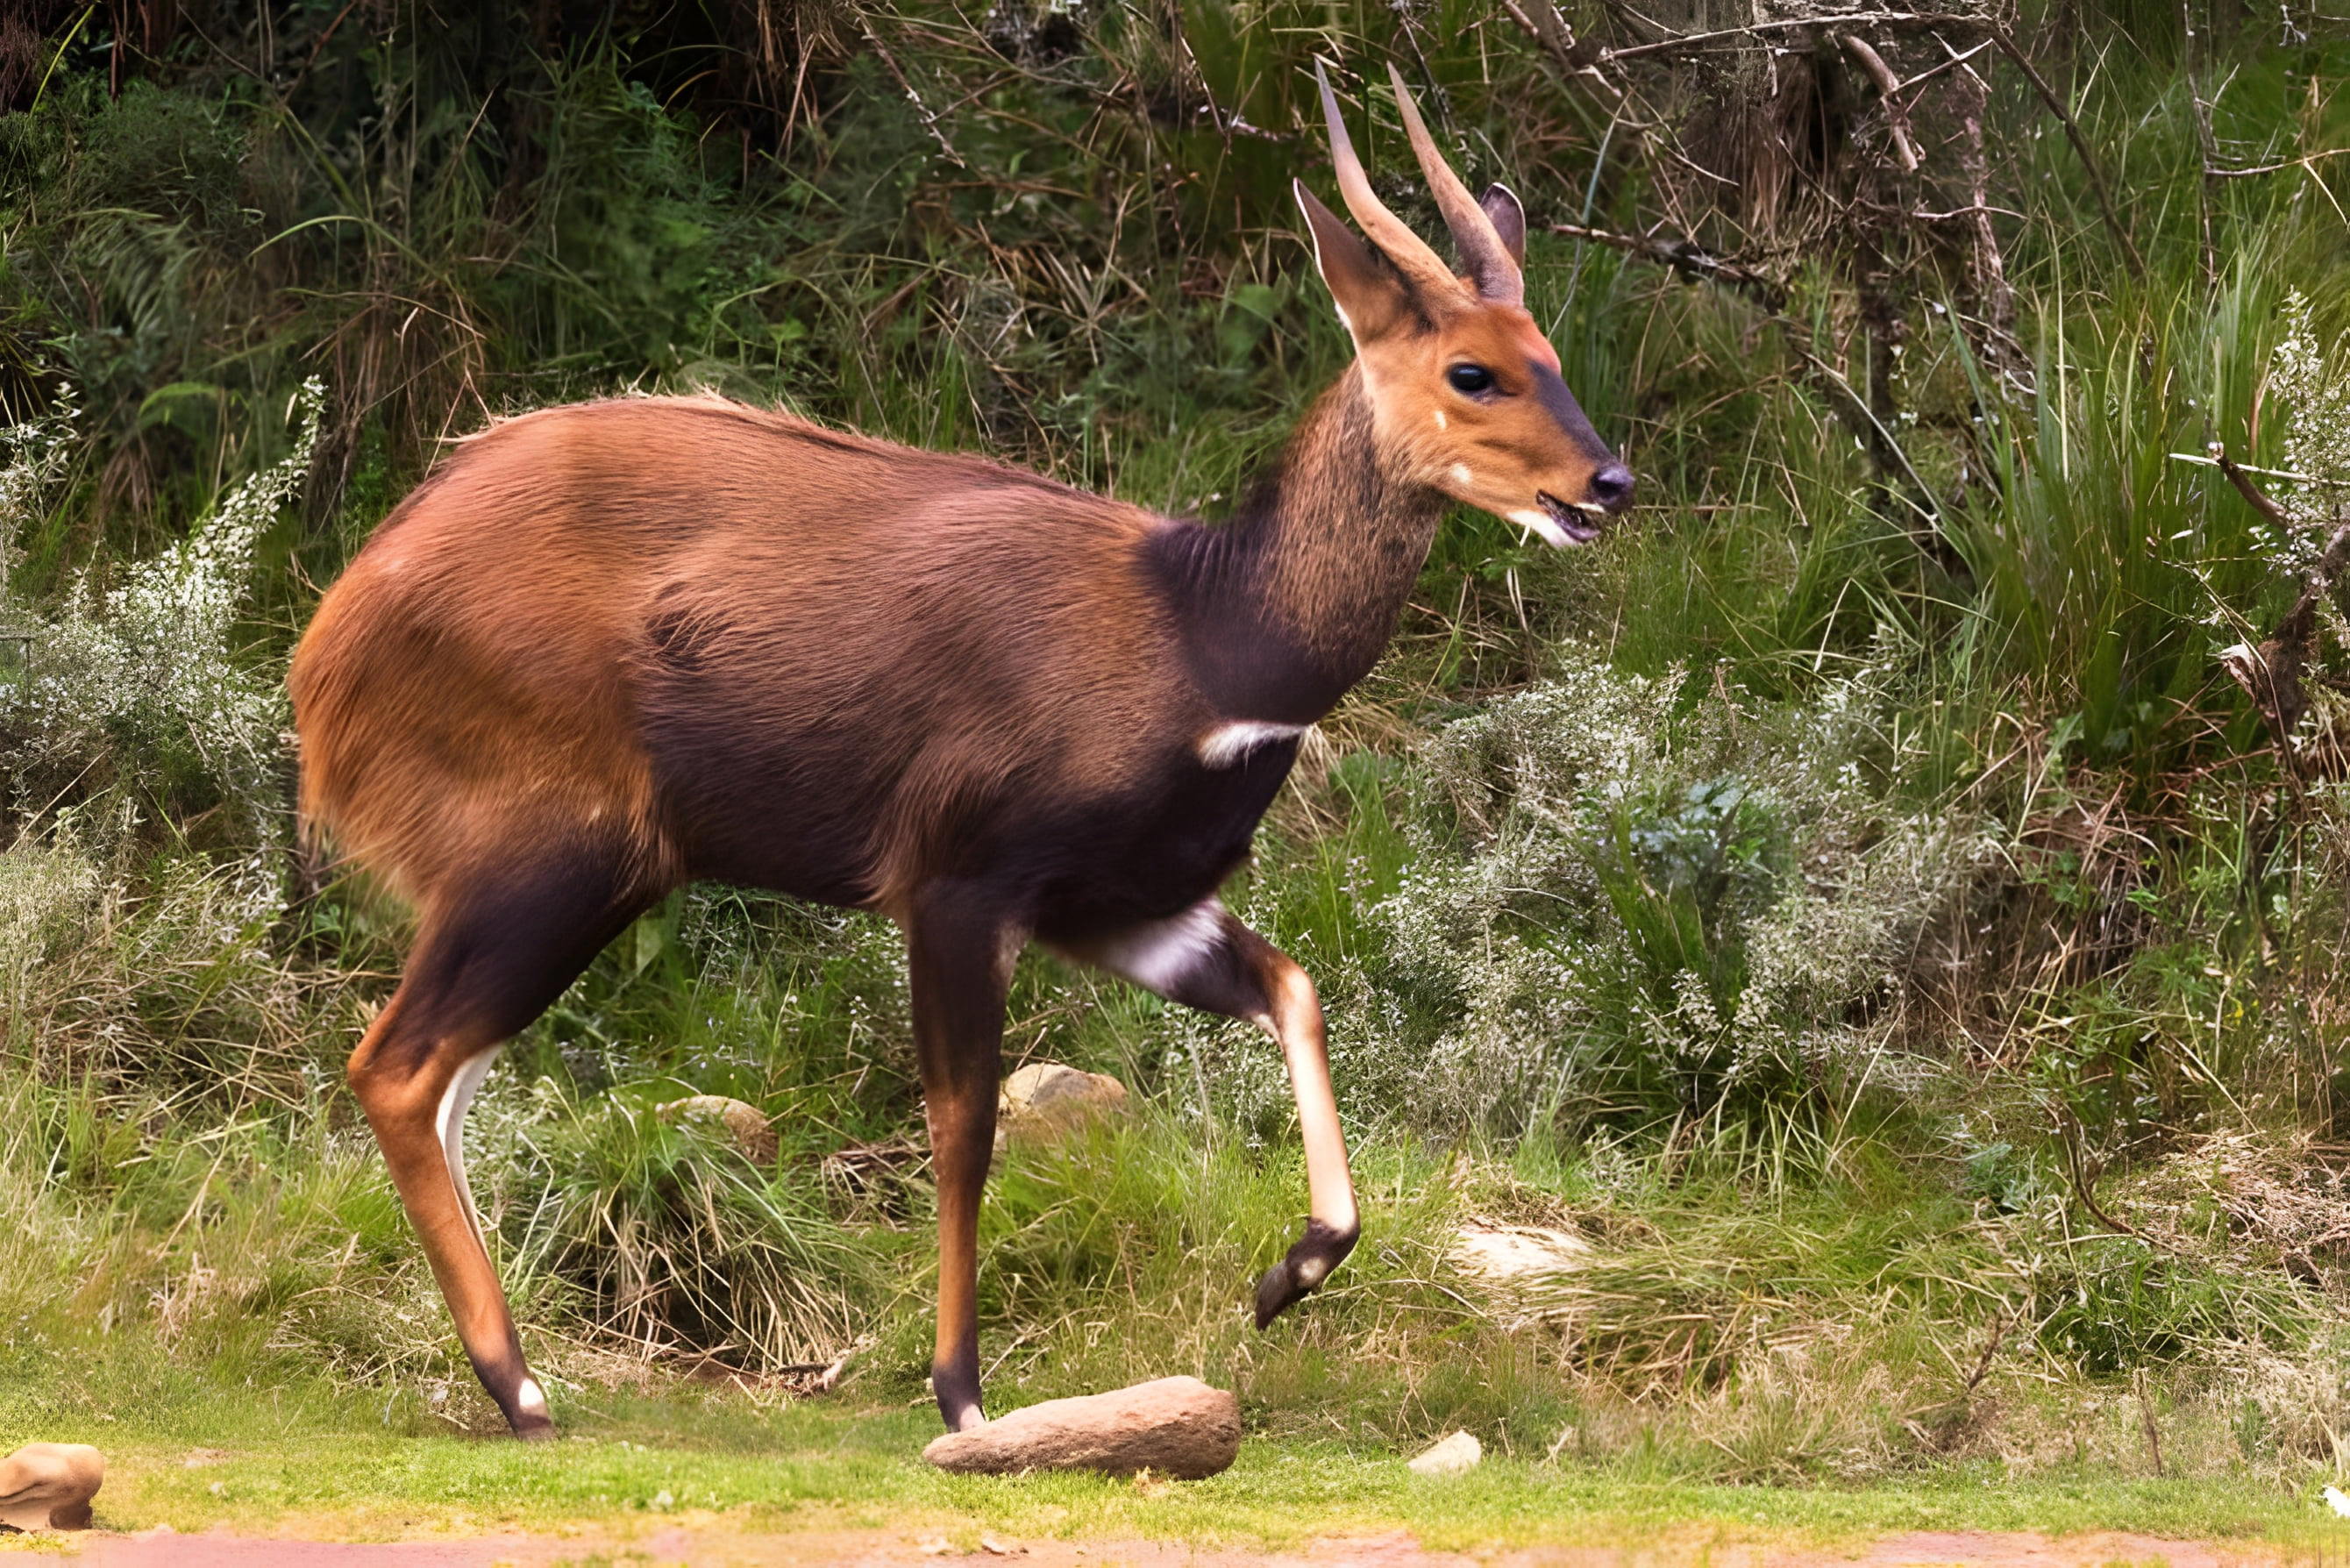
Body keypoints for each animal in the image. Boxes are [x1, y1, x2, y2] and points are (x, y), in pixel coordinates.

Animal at [284, 64, 1626, 1448]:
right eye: (1473, 371)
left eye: (1550, 355)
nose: (1608, 482)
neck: (1204, 639)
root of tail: (328, 651)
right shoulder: (956, 876)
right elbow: (963, 1124)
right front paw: (963, 1393)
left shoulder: (1126, 903)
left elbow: (1295, 987)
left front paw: (1282, 1278)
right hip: (558, 849)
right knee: (396, 1067)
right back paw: (524, 1389)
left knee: (433, 1077)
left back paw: (515, 1381)